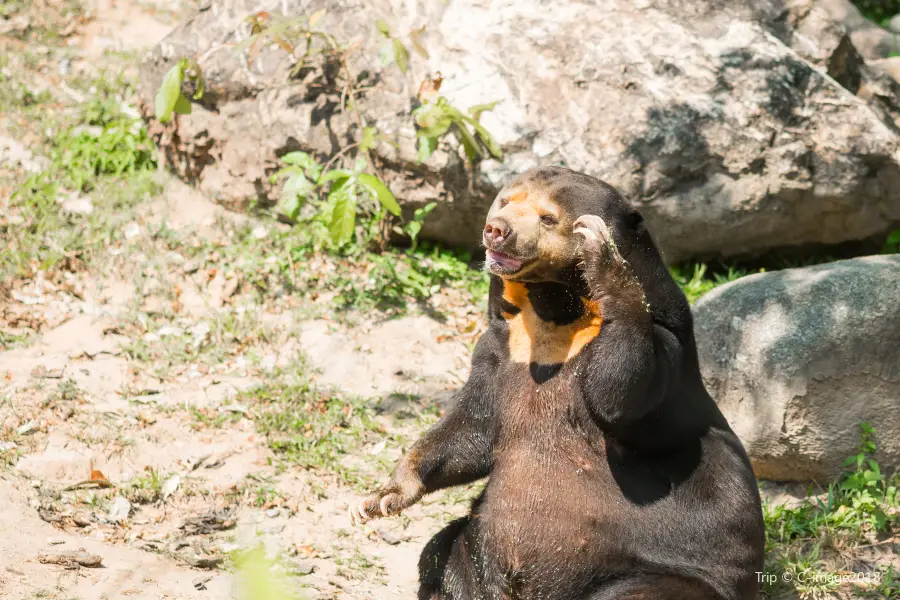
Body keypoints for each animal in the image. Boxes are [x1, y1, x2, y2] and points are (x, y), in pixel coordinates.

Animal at [348, 165, 764, 600]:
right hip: (479, 546)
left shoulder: (669, 346)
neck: (554, 315)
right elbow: (470, 427)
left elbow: (624, 392)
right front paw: (380, 498)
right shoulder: (499, 349)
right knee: (442, 556)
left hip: (665, 572)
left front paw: (605, 258)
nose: (497, 230)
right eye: (505, 202)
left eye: (548, 217)